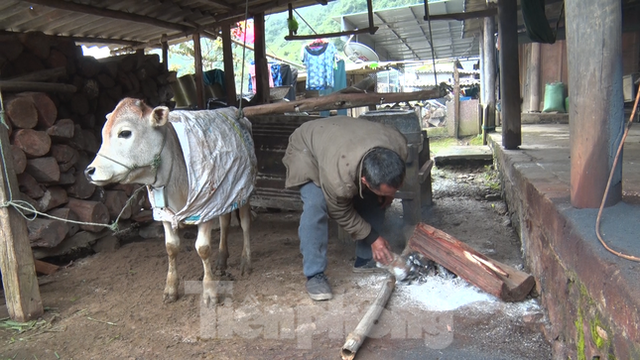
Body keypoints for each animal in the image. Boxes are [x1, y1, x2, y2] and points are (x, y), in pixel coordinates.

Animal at [85, 97, 258, 306]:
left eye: (125, 133)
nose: (89, 171)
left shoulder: (206, 208)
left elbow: (203, 248)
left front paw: (210, 293)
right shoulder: (164, 214)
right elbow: (171, 248)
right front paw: (170, 289)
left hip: (243, 189)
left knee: (246, 223)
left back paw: (246, 261)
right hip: (225, 193)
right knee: (225, 222)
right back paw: (221, 260)